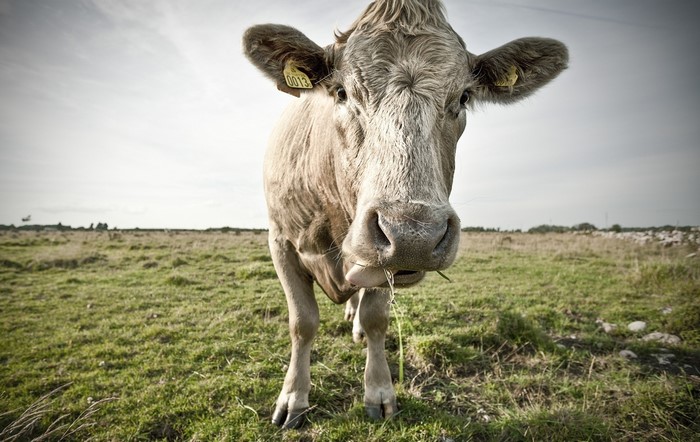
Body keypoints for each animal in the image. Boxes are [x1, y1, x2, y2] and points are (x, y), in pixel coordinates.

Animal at [243, 0, 568, 429]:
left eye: (464, 97)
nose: (414, 235)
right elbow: (303, 322)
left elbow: (377, 319)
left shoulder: (385, 264)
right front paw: (293, 398)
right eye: (341, 92)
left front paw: (379, 392)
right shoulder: (280, 241)